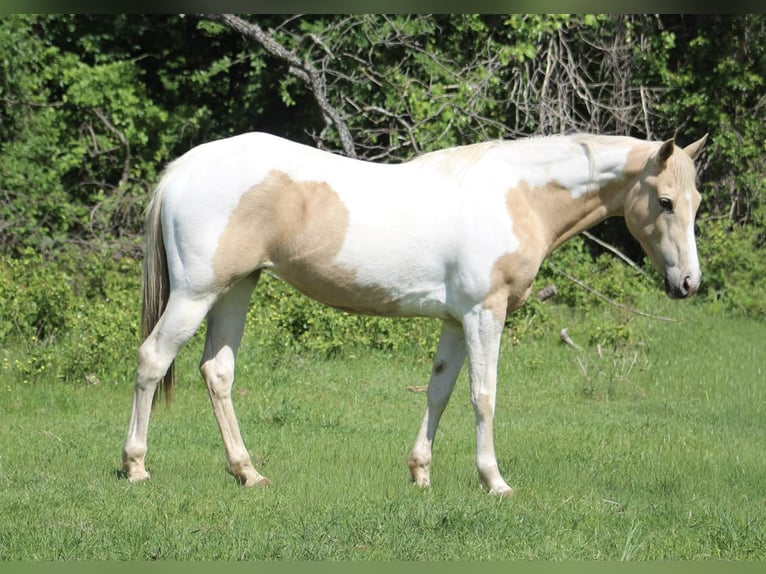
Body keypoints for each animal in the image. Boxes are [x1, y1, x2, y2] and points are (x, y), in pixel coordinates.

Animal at [121, 131, 707, 496]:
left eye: (696, 202)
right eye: (665, 201)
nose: (687, 284)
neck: (518, 196)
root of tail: (183, 169)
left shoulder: (454, 321)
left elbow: (439, 393)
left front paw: (421, 475)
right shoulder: (484, 314)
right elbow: (483, 396)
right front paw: (494, 481)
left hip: (236, 288)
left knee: (217, 372)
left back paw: (248, 474)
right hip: (196, 292)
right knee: (151, 359)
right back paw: (136, 466)